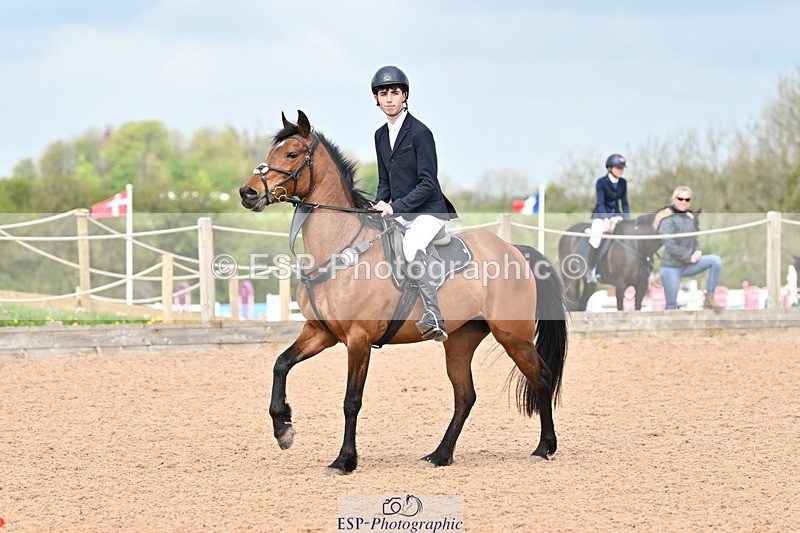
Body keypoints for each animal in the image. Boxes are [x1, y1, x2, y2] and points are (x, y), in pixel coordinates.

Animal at [239, 110, 568, 475]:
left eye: (292, 154)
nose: (247, 193)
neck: (341, 247)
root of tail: (514, 250)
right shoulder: (320, 332)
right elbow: (280, 364)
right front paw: (283, 428)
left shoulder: (358, 338)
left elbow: (351, 401)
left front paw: (344, 460)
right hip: (461, 340)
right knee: (465, 396)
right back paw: (440, 455)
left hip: (513, 335)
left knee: (541, 377)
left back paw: (543, 447)